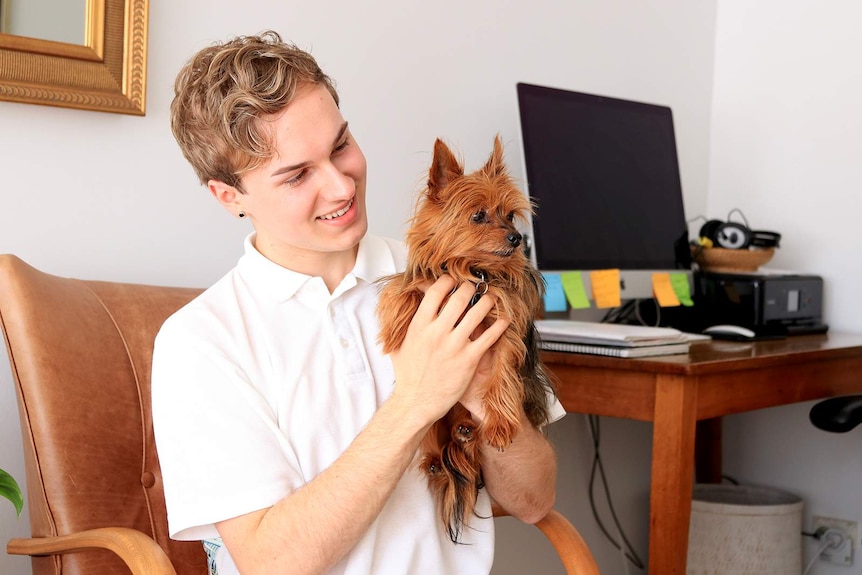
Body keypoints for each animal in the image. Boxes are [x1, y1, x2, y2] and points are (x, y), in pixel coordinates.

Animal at [380, 136, 556, 544]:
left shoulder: (506, 329)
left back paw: (468, 432)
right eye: (478, 216)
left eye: (510, 216)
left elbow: (502, 375)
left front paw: (501, 423)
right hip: (431, 424)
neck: (475, 273)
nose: (516, 239)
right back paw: (439, 456)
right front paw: (394, 326)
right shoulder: (428, 282)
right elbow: (402, 288)